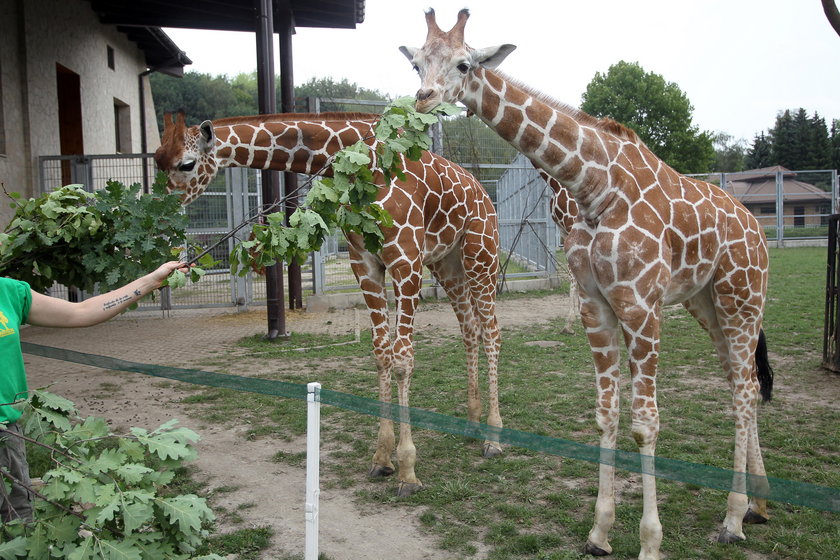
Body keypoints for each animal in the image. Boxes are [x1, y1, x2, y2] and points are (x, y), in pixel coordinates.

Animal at [154, 111, 502, 496]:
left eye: (186, 164)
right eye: (156, 160)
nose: (162, 215)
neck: (360, 163)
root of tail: (482, 190)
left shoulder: (405, 261)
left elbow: (402, 360)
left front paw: (408, 471)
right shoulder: (365, 264)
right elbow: (381, 355)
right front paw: (382, 459)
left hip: (480, 253)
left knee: (491, 333)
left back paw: (493, 437)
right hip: (447, 262)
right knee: (469, 328)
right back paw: (471, 424)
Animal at [400, 9, 776, 560]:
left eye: (465, 63)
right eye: (417, 63)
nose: (423, 99)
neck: (594, 187)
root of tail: (757, 227)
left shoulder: (641, 305)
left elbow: (645, 423)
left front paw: (649, 541)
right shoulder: (596, 306)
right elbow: (606, 415)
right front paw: (600, 532)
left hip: (742, 295)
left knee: (747, 389)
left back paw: (732, 517)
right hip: (706, 302)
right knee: (740, 381)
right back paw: (757, 504)